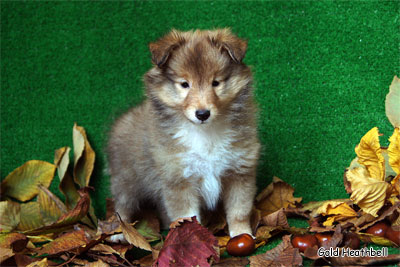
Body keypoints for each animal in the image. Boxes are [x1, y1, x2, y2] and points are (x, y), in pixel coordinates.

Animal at [108, 28, 260, 239]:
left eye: (215, 82)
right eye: (184, 84)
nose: (202, 114)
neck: (205, 133)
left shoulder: (239, 172)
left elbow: (239, 211)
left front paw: (241, 234)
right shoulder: (178, 179)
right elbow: (187, 217)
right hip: (125, 180)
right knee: (122, 206)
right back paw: (119, 232)